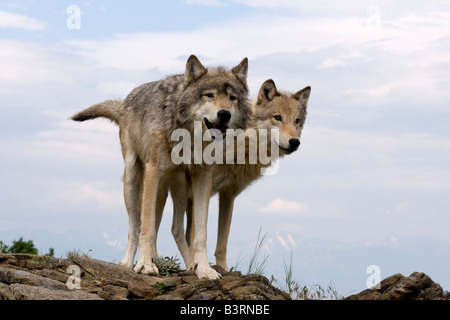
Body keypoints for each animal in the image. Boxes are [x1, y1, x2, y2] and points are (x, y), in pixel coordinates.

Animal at [72, 55, 251, 280]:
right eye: (209, 95)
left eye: (232, 98)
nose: (224, 114)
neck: (189, 136)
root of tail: (125, 102)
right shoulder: (153, 171)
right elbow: (147, 227)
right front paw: (145, 265)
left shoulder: (203, 178)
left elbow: (200, 233)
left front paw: (204, 269)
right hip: (134, 180)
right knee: (134, 227)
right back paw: (127, 263)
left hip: (178, 189)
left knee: (175, 227)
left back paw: (187, 265)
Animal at [157, 79, 310, 272]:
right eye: (277, 117)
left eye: (297, 121)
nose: (295, 142)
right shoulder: (201, 190)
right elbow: (194, 235)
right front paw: (199, 267)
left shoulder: (228, 194)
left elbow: (221, 242)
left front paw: (222, 268)